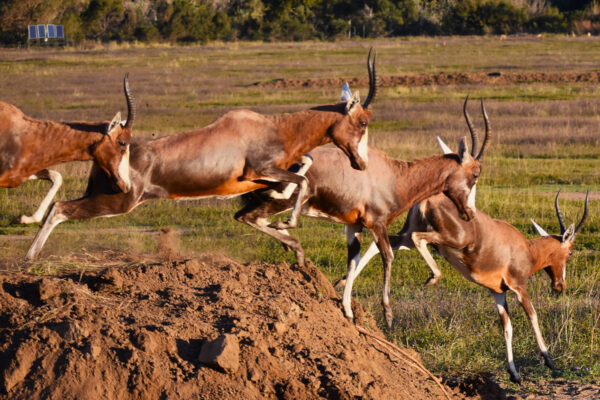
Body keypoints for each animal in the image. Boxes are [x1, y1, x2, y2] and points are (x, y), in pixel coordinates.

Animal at [0, 74, 135, 225]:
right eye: (122, 142)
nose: (127, 186)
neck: (25, 134)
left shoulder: (19, 175)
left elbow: (57, 177)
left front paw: (24, 218)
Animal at [25, 50, 378, 260]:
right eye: (362, 121)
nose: (361, 164)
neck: (274, 127)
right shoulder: (257, 171)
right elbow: (301, 180)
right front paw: (286, 221)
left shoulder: (259, 177)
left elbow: (305, 164)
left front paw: (280, 205)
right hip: (119, 202)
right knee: (61, 208)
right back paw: (29, 259)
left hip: (104, 195)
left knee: (59, 205)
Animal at [232, 97, 490, 328]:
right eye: (476, 174)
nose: (469, 214)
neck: (395, 176)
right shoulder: (377, 224)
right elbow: (388, 256)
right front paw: (388, 314)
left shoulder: (354, 225)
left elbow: (353, 261)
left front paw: (347, 311)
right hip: (279, 202)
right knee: (247, 217)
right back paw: (293, 246)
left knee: (249, 217)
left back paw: (289, 244)